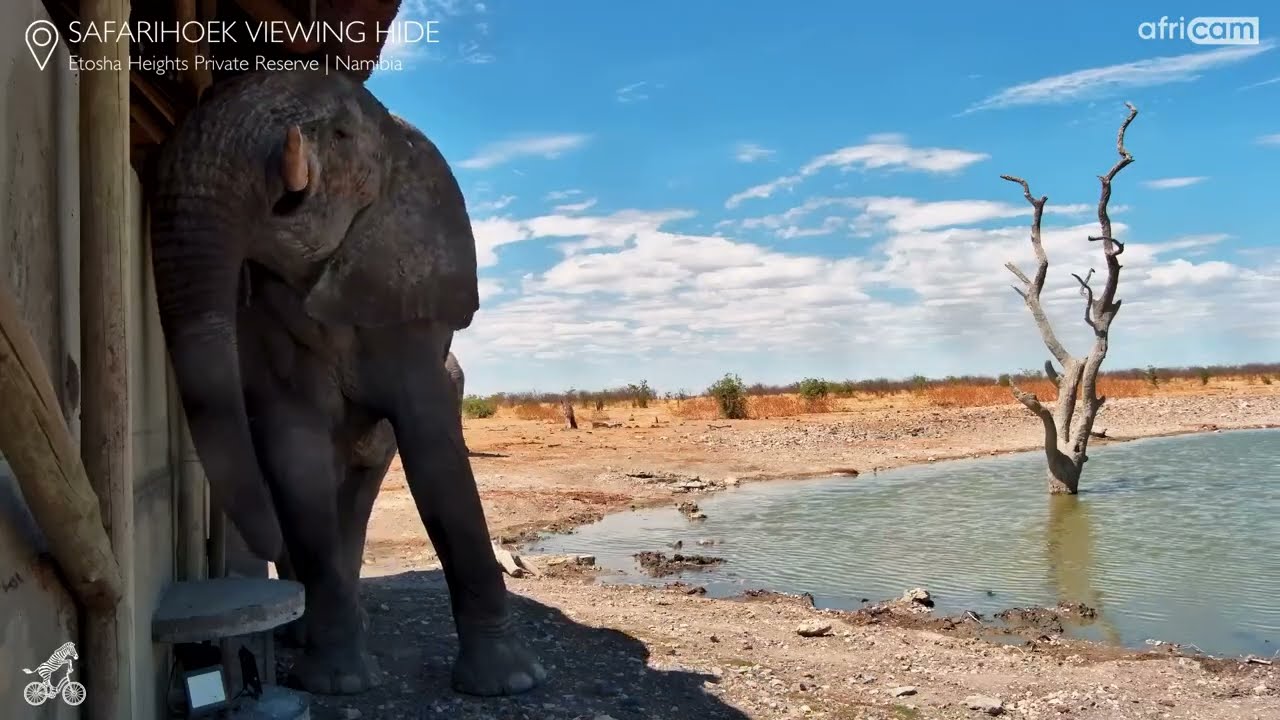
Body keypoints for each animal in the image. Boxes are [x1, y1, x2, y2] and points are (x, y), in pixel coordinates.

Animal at [146, 68, 545, 697]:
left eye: (338, 135)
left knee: (359, 496)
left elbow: (435, 455)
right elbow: (297, 458)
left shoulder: (411, 303)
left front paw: (511, 683)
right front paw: (335, 683)